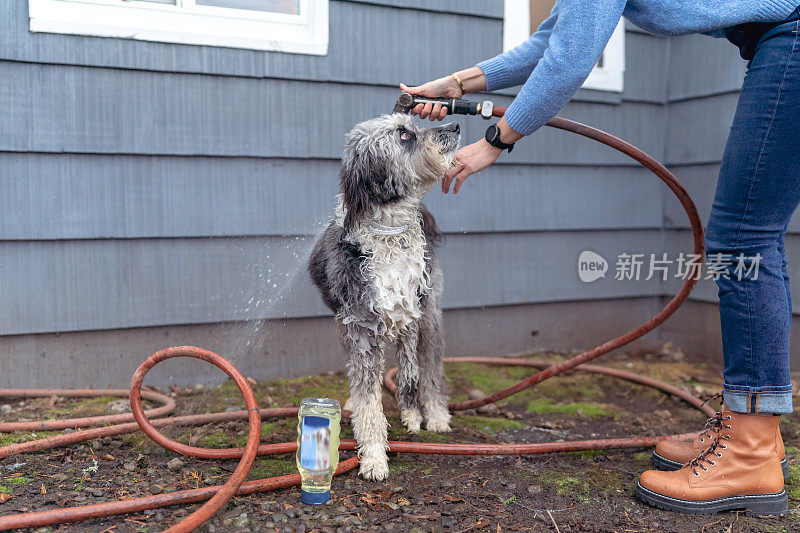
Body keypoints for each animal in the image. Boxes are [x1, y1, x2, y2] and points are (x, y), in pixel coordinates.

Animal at [308, 112, 460, 478]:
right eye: (405, 136)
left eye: (414, 126)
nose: (454, 127)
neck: (389, 234)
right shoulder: (360, 329)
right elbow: (368, 400)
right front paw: (374, 456)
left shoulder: (414, 313)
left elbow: (415, 372)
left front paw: (417, 418)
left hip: (428, 317)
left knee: (428, 368)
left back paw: (434, 415)